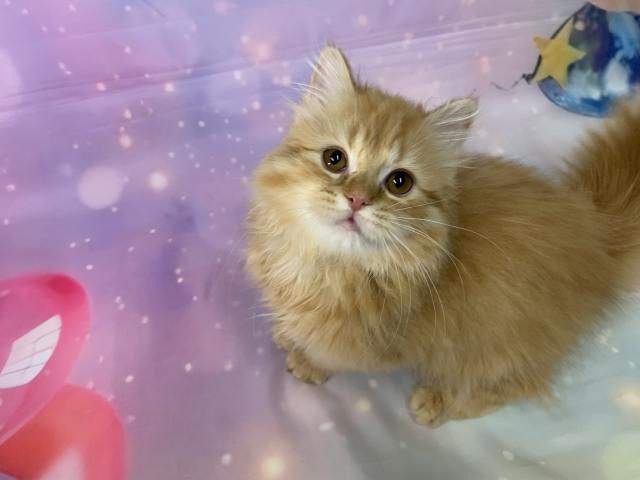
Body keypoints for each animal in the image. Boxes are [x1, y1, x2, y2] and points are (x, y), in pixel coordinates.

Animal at [245, 45, 640, 427]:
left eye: (399, 182)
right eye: (334, 159)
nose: (357, 199)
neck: (333, 265)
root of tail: (595, 231)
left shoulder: (365, 347)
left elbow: (329, 355)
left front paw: (306, 361)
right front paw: (288, 332)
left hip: (500, 349)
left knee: (517, 384)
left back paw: (438, 401)